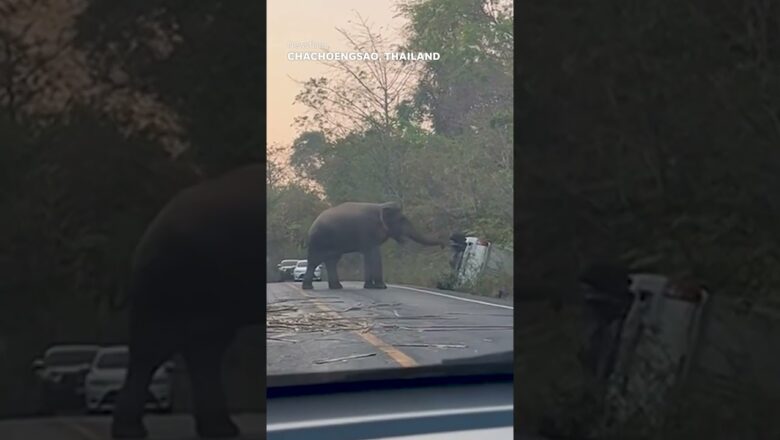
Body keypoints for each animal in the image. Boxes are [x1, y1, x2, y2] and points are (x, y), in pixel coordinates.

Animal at [300, 202, 448, 290]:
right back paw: (308, 288)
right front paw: (381, 287)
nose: (443, 245)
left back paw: (337, 287)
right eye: (402, 219)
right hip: (319, 242)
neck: (381, 207)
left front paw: (369, 286)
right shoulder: (368, 232)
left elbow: (368, 256)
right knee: (314, 261)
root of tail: (311, 227)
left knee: (332, 261)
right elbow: (375, 254)